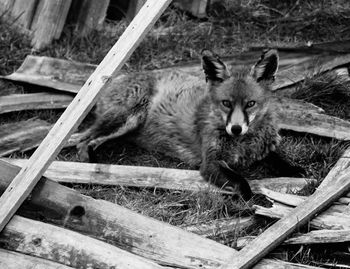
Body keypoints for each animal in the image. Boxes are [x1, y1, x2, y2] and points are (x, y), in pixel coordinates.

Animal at [74, 48, 296, 199]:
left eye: (250, 104)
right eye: (226, 103)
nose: (235, 128)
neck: (243, 145)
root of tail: (115, 78)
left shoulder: (264, 149)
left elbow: (282, 162)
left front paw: (298, 173)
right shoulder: (210, 162)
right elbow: (242, 184)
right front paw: (253, 200)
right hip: (128, 118)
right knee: (84, 142)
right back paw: (91, 169)